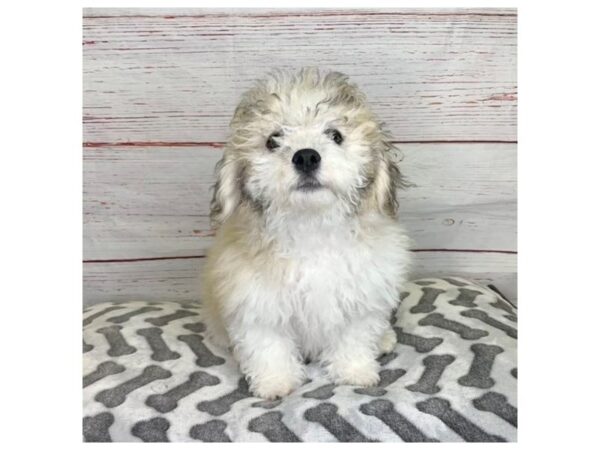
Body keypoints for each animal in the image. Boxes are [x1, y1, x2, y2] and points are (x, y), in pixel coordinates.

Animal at [202, 68, 412, 400]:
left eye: (336, 135)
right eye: (273, 140)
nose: (306, 157)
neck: (311, 226)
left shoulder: (362, 294)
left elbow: (354, 336)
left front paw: (354, 372)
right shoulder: (256, 301)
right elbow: (268, 345)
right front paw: (276, 382)